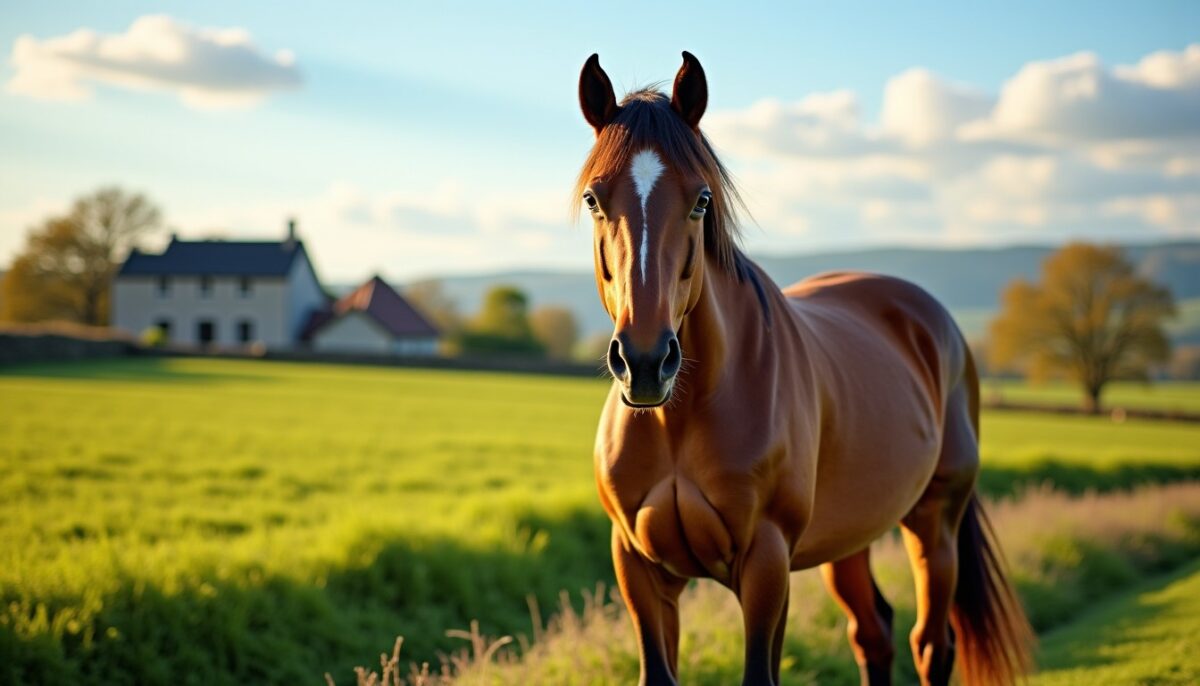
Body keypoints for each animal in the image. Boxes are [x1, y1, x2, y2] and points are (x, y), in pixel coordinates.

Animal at [575, 52, 1033, 686]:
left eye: (701, 200)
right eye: (594, 199)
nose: (644, 362)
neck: (683, 417)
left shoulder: (766, 562)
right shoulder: (639, 567)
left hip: (934, 524)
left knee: (931, 644)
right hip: (848, 538)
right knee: (874, 633)